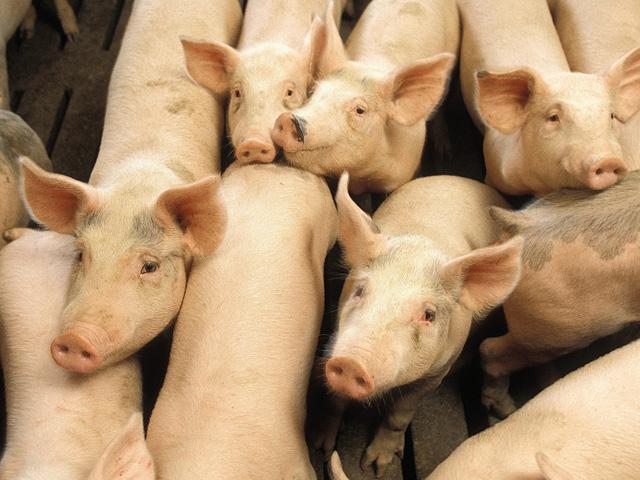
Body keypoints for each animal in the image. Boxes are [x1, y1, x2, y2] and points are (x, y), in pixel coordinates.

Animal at [316, 173, 523, 476]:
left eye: (428, 314)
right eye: (360, 290)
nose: (351, 363)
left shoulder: (433, 374)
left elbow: (398, 416)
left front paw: (374, 467)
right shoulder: (335, 341)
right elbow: (333, 402)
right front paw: (321, 447)